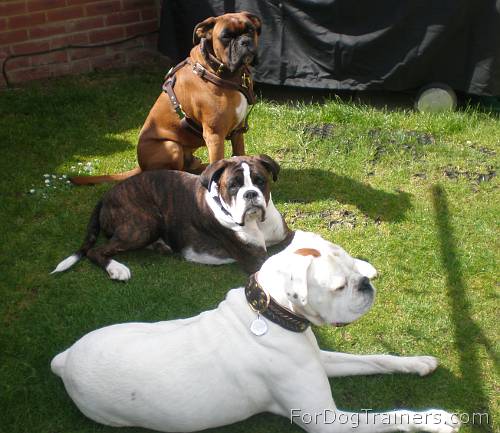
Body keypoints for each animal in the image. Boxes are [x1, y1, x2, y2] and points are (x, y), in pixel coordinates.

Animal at [52, 155, 292, 280]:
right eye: (233, 185)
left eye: (260, 181)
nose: (250, 194)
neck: (256, 222)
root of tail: (106, 195)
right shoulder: (255, 259)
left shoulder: (286, 235)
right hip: (146, 224)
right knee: (95, 251)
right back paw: (117, 269)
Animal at [73, 11, 264, 184]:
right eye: (226, 36)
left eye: (250, 29)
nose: (245, 41)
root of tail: (141, 166)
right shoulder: (214, 135)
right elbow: (218, 161)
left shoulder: (238, 130)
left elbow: (239, 155)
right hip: (172, 147)